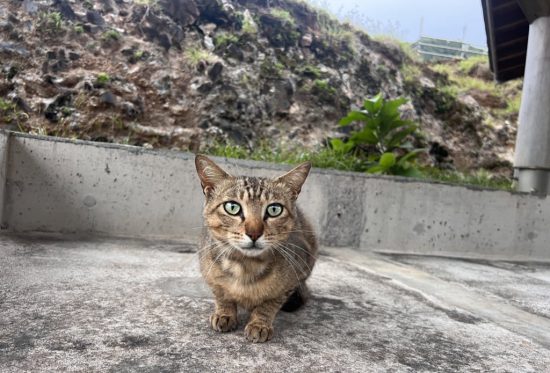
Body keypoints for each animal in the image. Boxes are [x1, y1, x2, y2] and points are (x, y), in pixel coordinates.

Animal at [195, 155, 320, 342]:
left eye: (274, 209)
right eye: (232, 207)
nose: (254, 233)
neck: (245, 266)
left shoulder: (293, 277)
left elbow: (270, 303)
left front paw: (259, 324)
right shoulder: (210, 273)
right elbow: (221, 294)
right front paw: (224, 313)